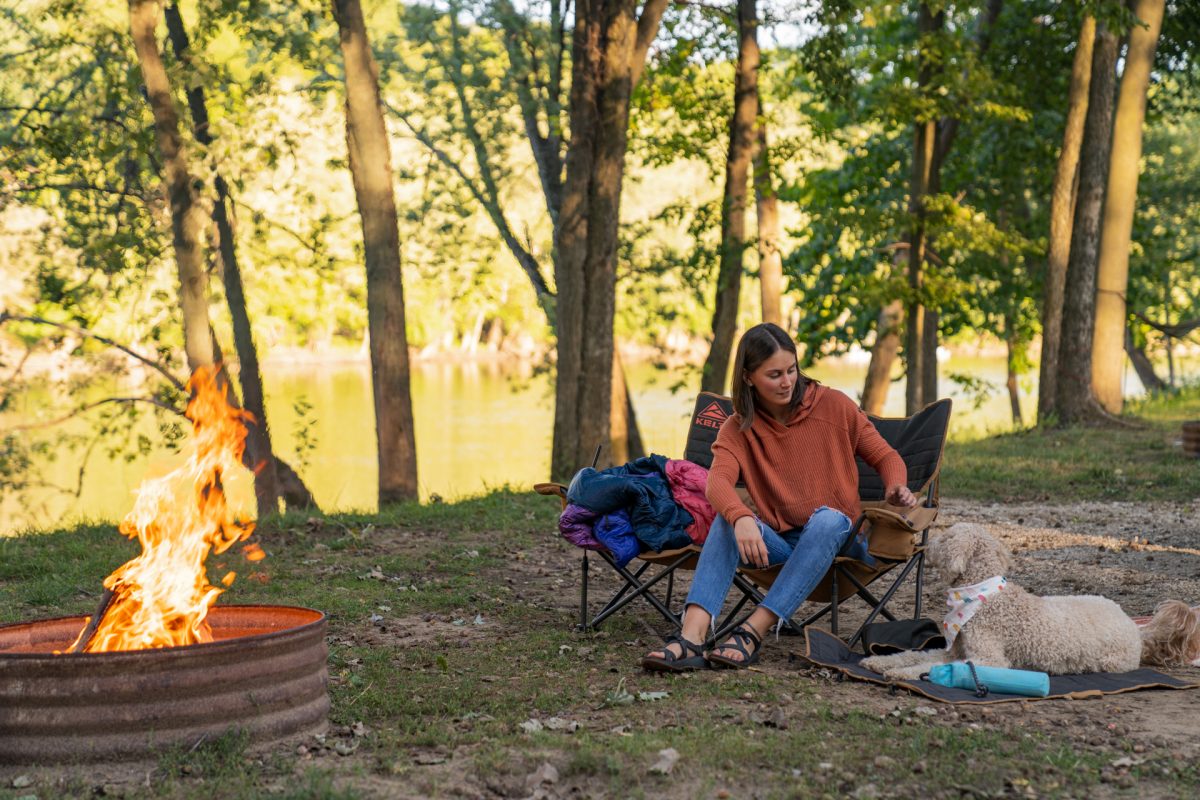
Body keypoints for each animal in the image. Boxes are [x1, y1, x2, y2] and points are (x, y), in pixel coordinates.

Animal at [859, 525, 1195, 681]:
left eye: (947, 537)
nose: (925, 544)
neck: (982, 596)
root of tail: (1135, 627)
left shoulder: (989, 660)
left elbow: (930, 665)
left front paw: (903, 674)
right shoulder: (954, 650)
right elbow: (914, 655)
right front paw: (880, 662)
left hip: (1113, 661)